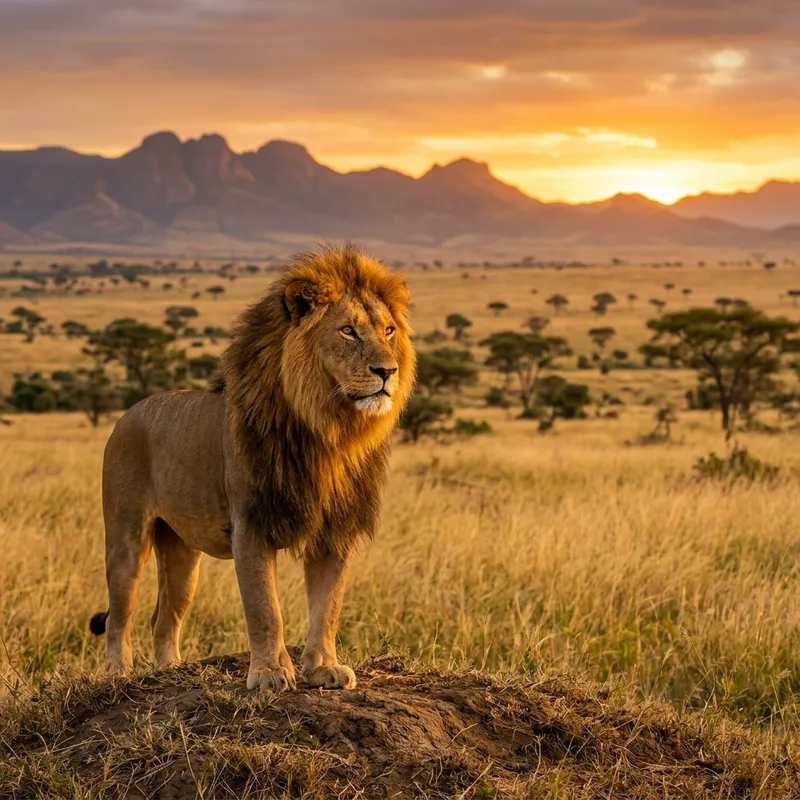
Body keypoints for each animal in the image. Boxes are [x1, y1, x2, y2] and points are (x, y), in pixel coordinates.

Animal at [90, 244, 416, 692]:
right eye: (348, 330)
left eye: (388, 331)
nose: (387, 371)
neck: (328, 431)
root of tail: (128, 413)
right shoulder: (252, 523)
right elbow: (264, 608)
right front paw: (270, 674)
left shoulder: (335, 530)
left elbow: (328, 606)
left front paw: (323, 669)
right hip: (126, 537)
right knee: (119, 615)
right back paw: (120, 676)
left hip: (182, 554)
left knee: (163, 617)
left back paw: (171, 672)